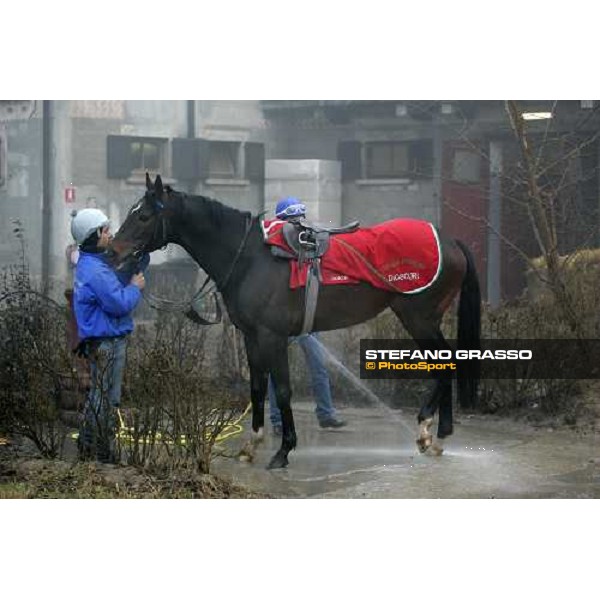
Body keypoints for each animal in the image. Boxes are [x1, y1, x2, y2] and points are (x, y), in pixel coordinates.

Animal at [110, 173, 480, 468]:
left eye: (143, 216)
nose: (113, 250)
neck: (251, 257)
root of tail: (450, 241)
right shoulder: (251, 337)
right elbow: (258, 388)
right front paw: (252, 444)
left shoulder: (272, 336)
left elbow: (284, 390)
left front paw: (283, 450)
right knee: (447, 363)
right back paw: (439, 435)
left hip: (419, 318)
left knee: (446, 362)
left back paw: (426, 430)